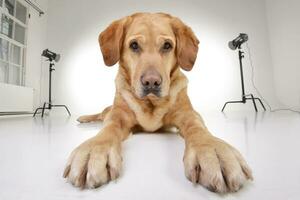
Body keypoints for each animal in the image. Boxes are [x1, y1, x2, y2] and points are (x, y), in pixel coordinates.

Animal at [63, 12, 253, 192]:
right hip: (108, 110)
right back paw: (84, 118)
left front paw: (212, 150)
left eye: (167, 46)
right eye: (134, 45)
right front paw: (94, 149)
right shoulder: (118, 115)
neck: (151, 102)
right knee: (102, 114)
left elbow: (197, 129)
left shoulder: (188, 113)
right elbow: (108, 129)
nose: (151, 82)